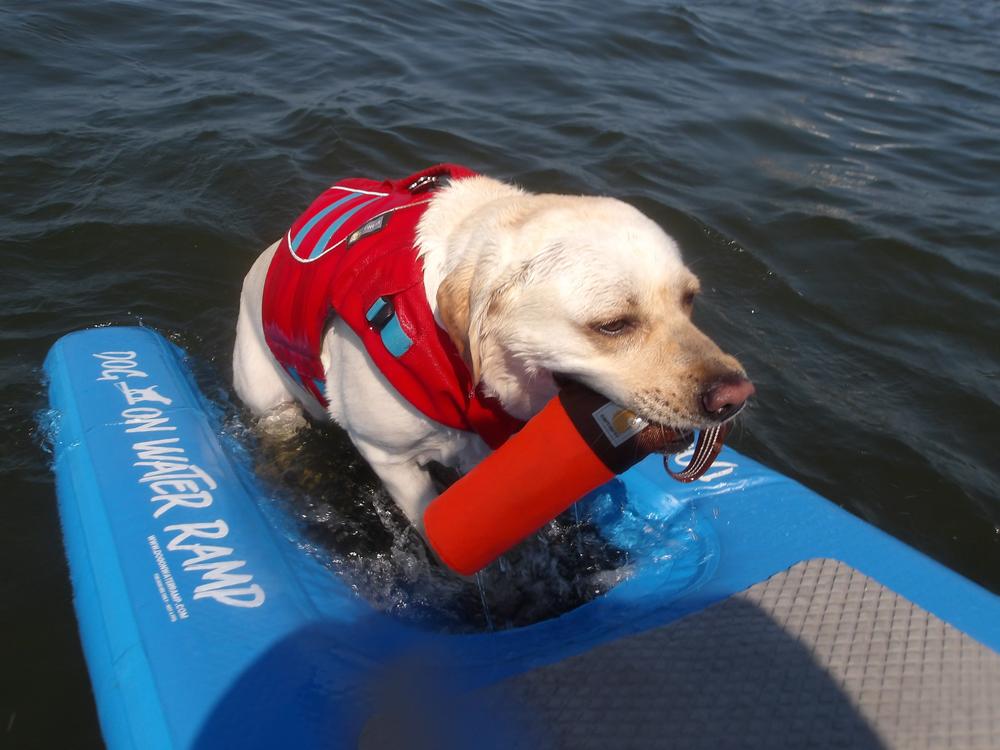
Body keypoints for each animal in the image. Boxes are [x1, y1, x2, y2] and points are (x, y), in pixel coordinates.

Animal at [232, 170, 752, 532]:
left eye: (689, 300)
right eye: (612, 325)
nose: (736, 395)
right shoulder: (387, 454)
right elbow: (429, 520)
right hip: (266, 394)